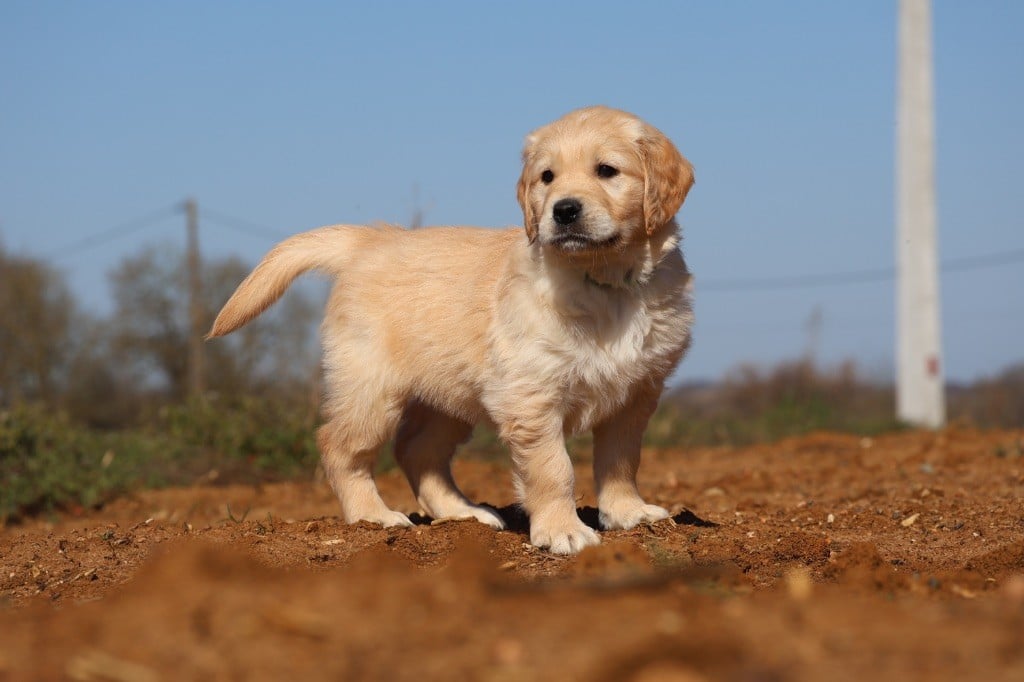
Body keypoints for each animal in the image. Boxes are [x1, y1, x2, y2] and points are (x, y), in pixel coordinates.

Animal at [211, 106, 700, 552]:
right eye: (547, 177)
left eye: (607, 171)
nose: (563, 211)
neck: (604, 282)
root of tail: (371, 240)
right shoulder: (532, 394)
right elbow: (553, 469)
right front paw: (562, 531)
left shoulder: (636, 392)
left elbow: (621, 459)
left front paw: (627, 513)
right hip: (371, 387)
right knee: (339, 446)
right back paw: (374, 516)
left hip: (446, 395)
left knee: (417, 451)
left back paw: (463, 512)